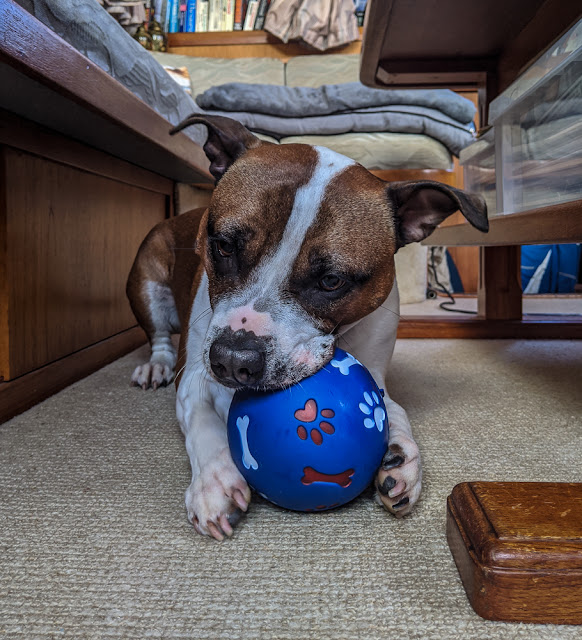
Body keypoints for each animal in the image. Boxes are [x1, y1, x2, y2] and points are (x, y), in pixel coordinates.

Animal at [126, 115, 488, 540]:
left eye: (331, 280)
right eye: (225, 246)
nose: (232, 359)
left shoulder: (375, 371)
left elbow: (391, 406)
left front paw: (400, 453)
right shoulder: (196, 374)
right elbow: (201, 419)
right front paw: (214, 482)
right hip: (147, 280)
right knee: (159, 337)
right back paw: (156, 365)